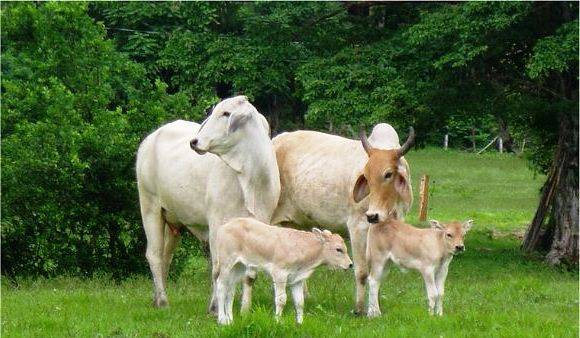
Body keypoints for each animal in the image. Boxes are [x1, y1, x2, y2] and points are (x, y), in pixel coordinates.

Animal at [137, 95, 280, 308]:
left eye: (226, 113)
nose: (194, 141)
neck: (251, 178)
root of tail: (149, 139)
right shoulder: (217, 224)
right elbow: (218, 270)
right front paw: (215, 307)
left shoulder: (259, 226)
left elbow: (249, 274)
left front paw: (245, 308)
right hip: (150, 207)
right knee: (154, 255)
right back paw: (162, 301)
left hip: (172, 220)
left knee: (165, 257)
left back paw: (157, 298)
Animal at [212, 217, 348, 324]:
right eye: (338, 249)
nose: (350, 264)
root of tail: (224, 226)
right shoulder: (280, 274)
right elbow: (281, 299)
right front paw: (277, 321)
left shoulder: (297, 280)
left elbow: (300, 302)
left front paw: (300, 323)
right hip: (226, 263)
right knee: (221, 286)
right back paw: (222, 320)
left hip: (239, 266)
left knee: (230, 290)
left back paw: (230, 320)